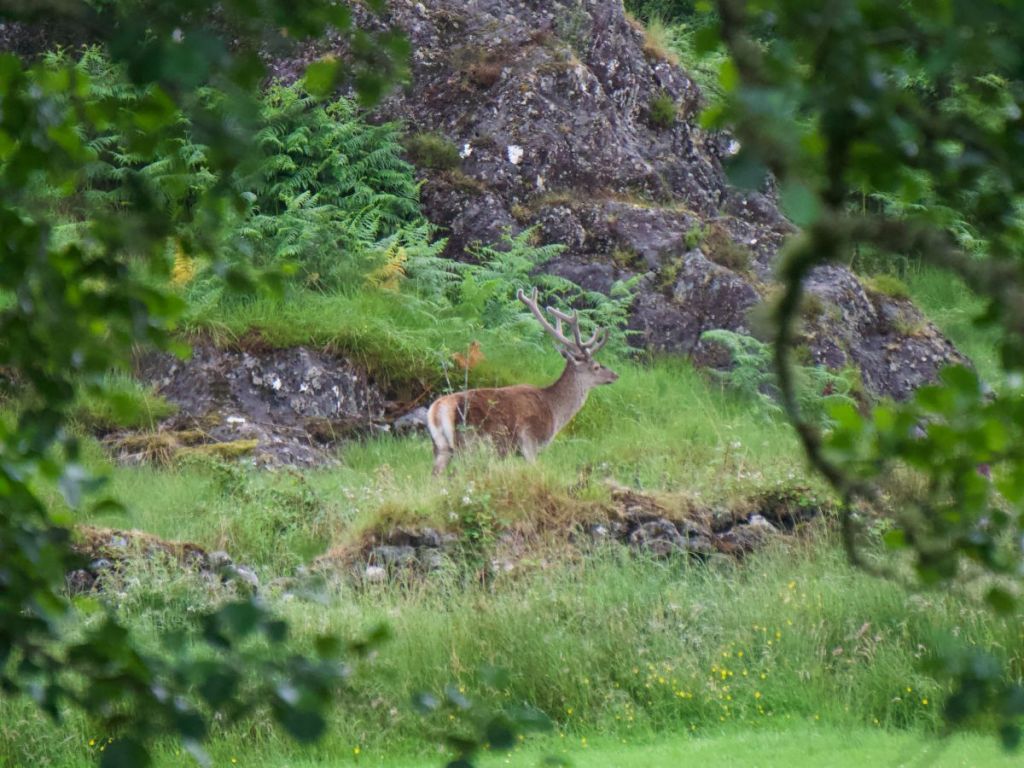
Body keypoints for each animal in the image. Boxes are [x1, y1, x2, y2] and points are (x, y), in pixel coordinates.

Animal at [427, 288, 618, 475]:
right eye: (596, 366)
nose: (615, 375)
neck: (554, 411)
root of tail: (437, 410)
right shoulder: (529, 441)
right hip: (470, 444)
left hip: (441, 447)